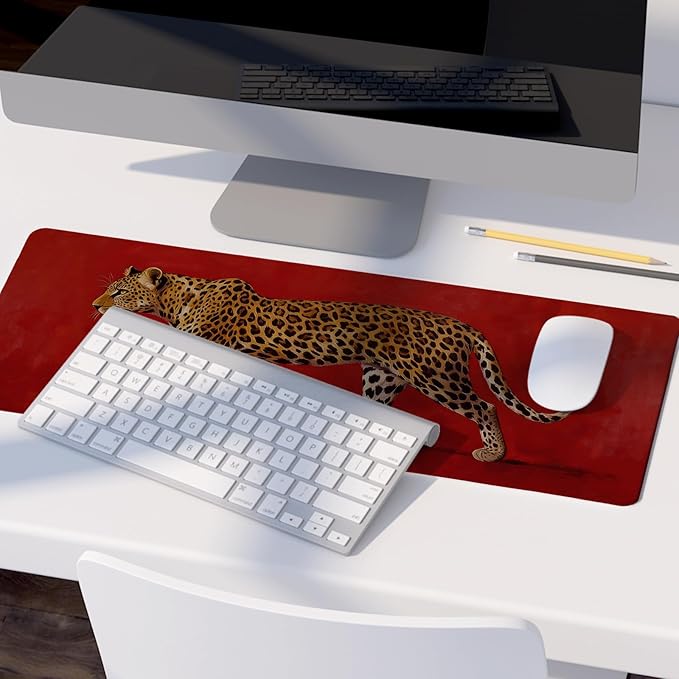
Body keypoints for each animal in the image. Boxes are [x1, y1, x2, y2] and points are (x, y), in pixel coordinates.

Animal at [92, 266, 570, 461]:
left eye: (117, 292)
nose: (94, 306)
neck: (174, 298)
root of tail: (459, 323)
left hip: (437, 378)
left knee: (485, 406)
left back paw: (493, 453)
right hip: (380, 380)